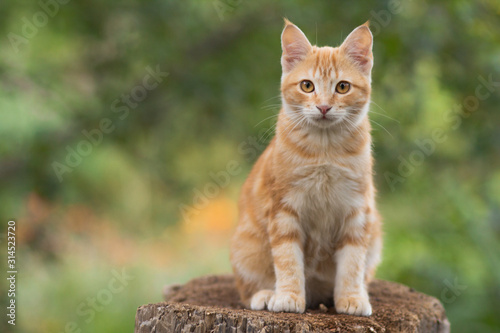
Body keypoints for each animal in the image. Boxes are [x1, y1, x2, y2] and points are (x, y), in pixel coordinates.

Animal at [230, 19, 382, 316]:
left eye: (342, 87)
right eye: (307, 86)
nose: (323, 107)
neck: (325, 150)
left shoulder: (357, 210)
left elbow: (352, 262)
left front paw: (351, 297)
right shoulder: (283, 210)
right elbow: (288, 259)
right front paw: (288, 296)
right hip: (245, 247)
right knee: (247, 288)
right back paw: (267, 294)